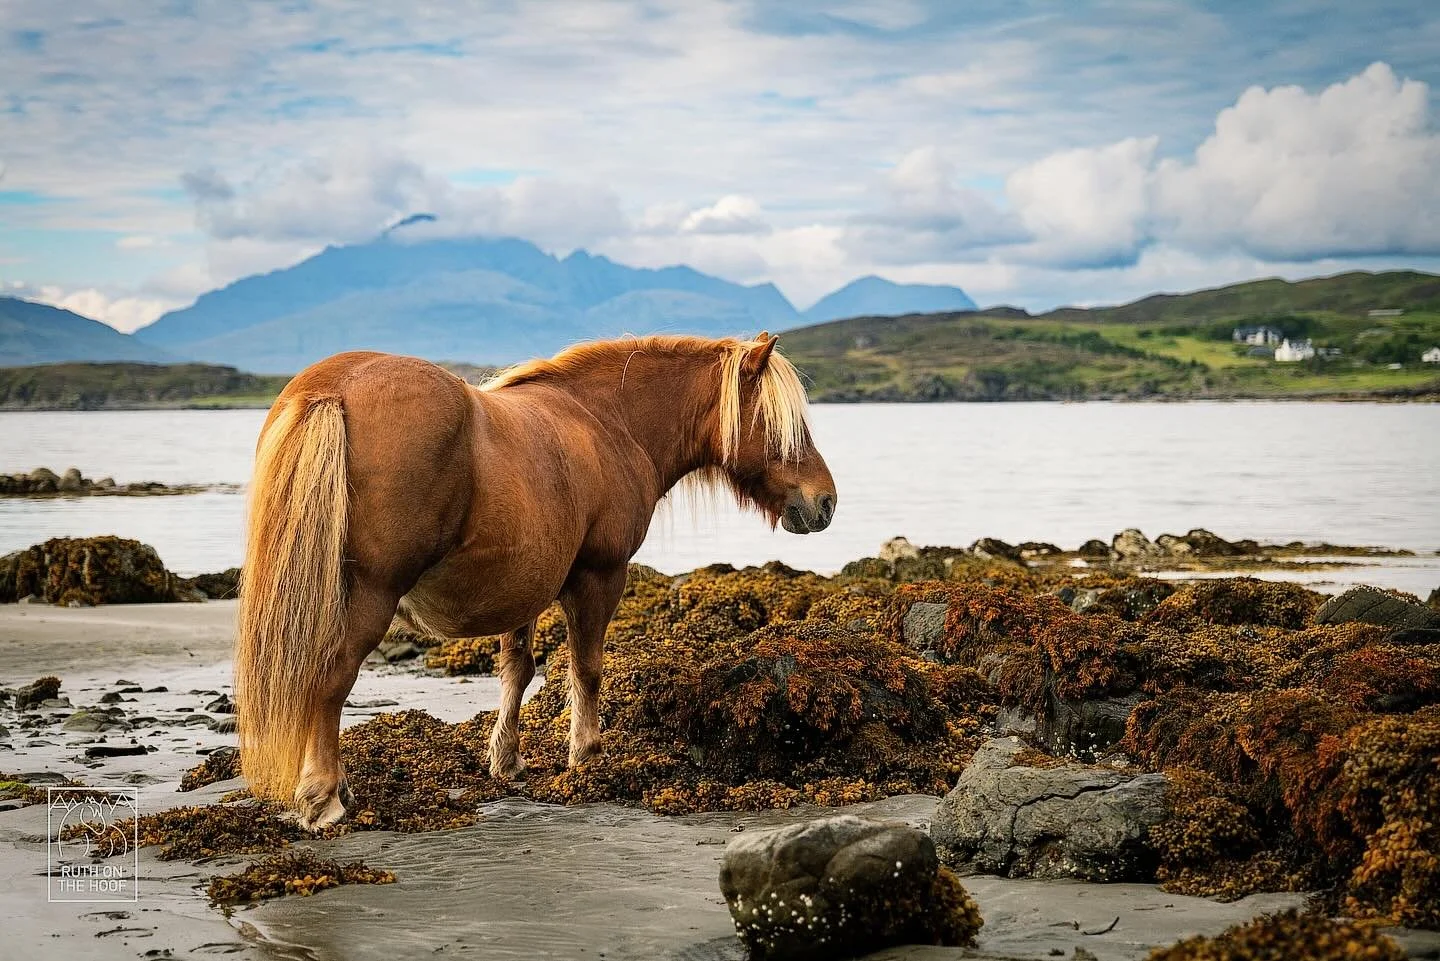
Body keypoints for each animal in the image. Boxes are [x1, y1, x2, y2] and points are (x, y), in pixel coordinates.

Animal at [234, 332, 838, 829]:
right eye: (786, 425)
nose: (825, 502)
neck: (607, 422)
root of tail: (330, 390)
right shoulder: (599, 575)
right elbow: (585, 668)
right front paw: (586, 754)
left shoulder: (522, 585)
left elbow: (517, 671)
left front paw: (506, 759)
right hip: (369, 598)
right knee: (329, 678)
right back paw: (323, 797)